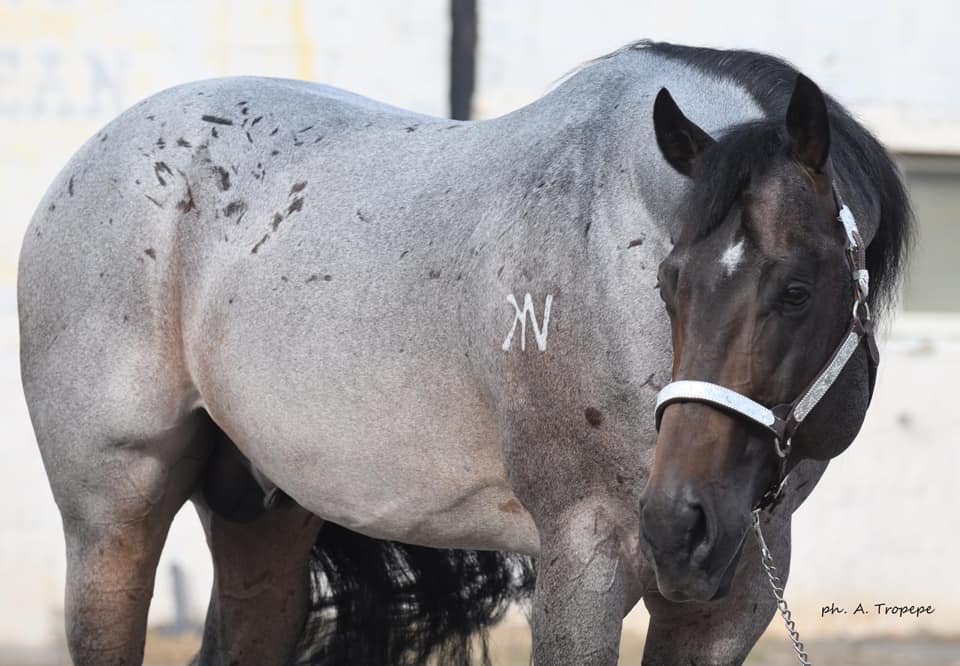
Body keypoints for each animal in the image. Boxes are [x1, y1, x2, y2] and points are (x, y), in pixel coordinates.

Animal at [18, 40, 911, 665]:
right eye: (670, 281)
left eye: (797, 290)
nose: (680, 522)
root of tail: (90, 157)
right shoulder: (584, 564)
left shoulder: (733, 598)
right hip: (111, 516)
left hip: (261, 515)